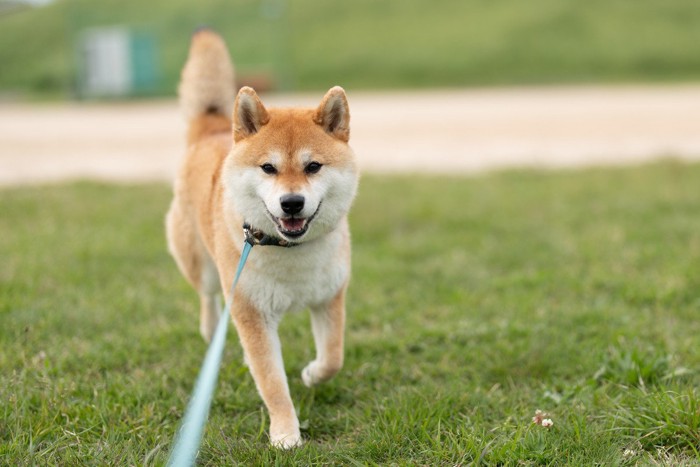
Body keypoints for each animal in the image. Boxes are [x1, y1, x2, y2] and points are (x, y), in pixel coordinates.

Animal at [166, 30, 358, 450]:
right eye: (268, 168)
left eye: (313, 166)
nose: (292, 202)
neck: (289, 251)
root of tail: (212, 128)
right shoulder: (253, 312)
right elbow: (272, 384)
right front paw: (285, 432)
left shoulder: (329, 297)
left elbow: (333, 357)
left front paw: (311, 374)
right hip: (203, 265)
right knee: (208, 297)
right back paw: (212, 332)